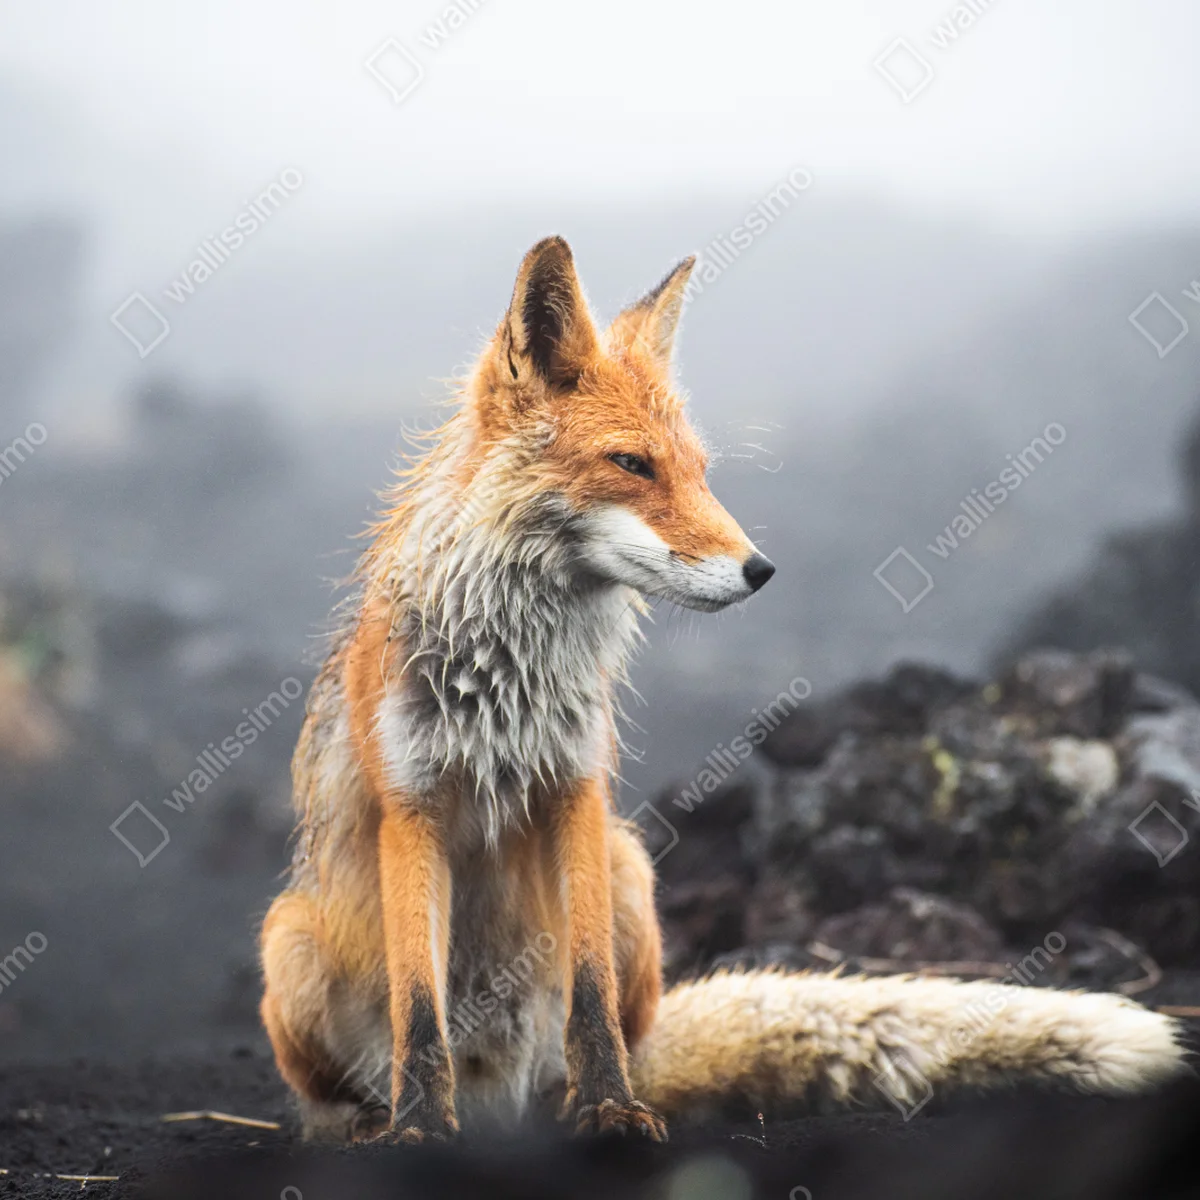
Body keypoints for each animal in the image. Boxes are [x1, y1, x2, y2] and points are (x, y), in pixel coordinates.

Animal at [259, 236, 1185, 1144]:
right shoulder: (412, 806)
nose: (761, 569)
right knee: (336, 1090)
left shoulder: (576, 790)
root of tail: (500, 1102)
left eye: (699, 471)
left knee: (610, 1039)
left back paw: (574, 1104)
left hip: (630, 871)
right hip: (288, 940)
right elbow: (420, 1006)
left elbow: (590, 993)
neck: (509, 682)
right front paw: (419, 1127)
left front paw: (610, 1111)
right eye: (631, 464)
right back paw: (367, 1123)